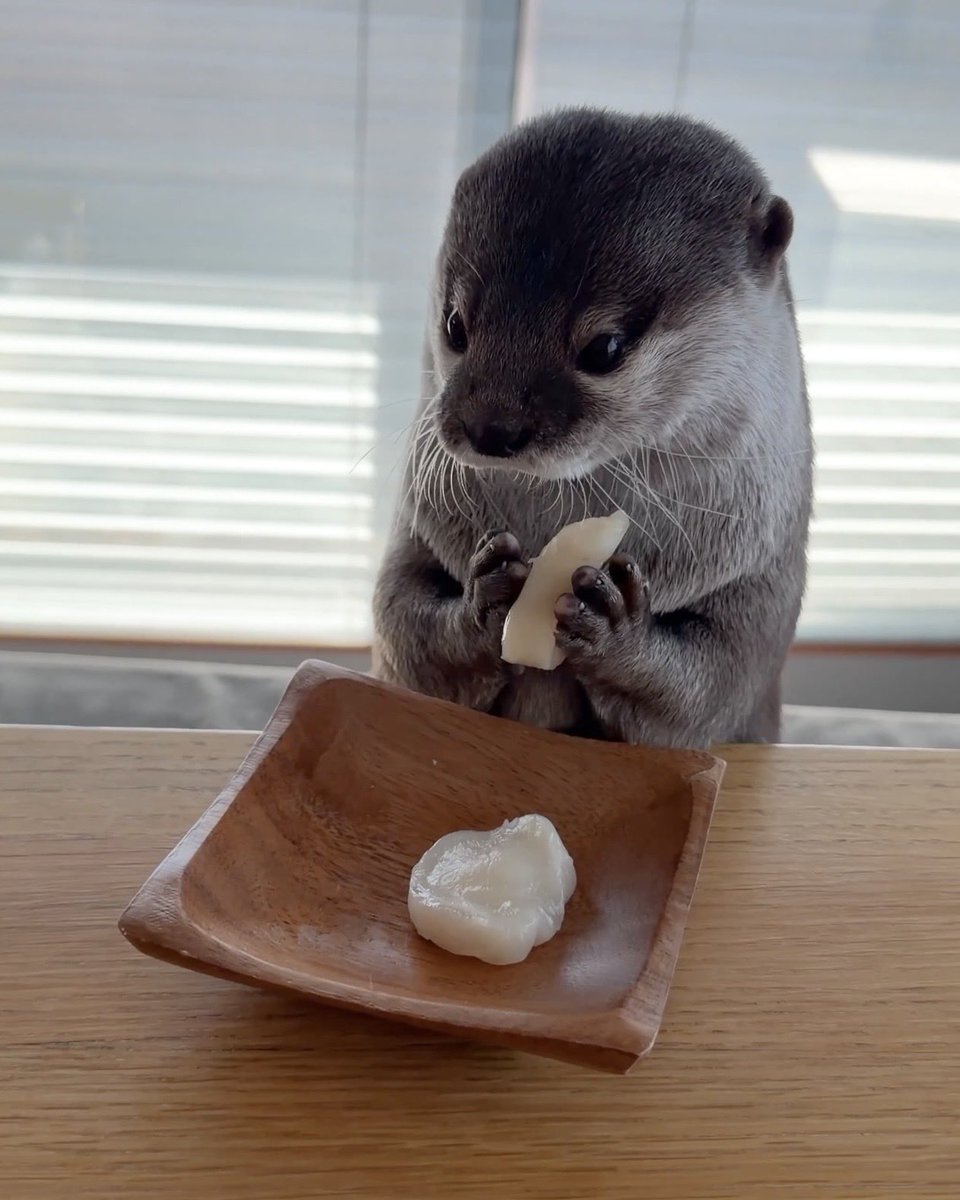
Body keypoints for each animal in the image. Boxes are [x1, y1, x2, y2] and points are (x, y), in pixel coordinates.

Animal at [372, 108, 812, 748]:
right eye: (456, 325)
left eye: (604, 348)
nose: (490, 427)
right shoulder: (416, 533)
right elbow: (404, 634)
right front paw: (485, 596)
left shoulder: (759, 581)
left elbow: (705, 695)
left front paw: (615, 630)